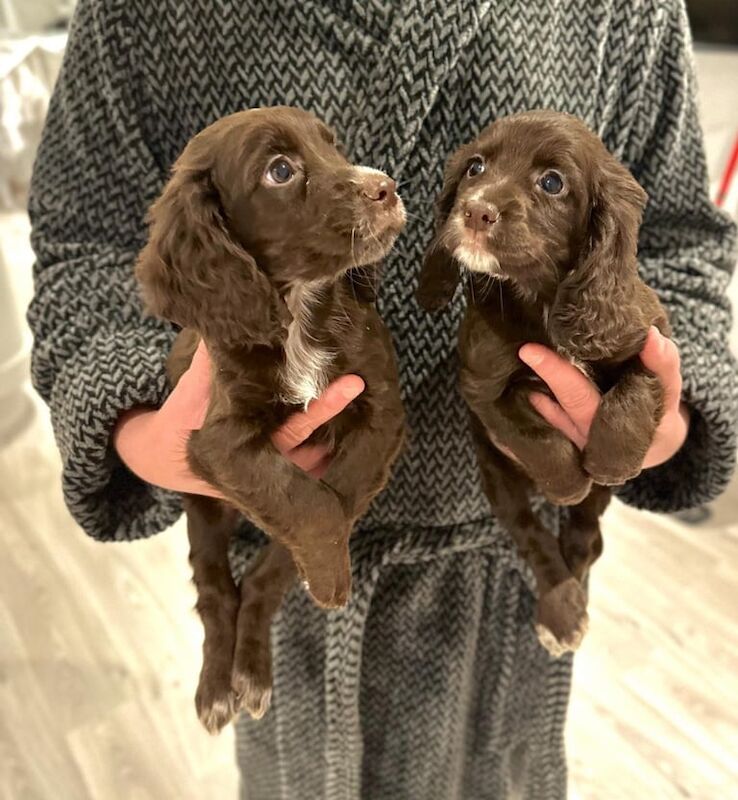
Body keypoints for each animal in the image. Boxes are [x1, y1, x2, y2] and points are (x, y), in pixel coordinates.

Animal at [135, 106, 406, 732]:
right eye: (280, 171)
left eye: (333, 145)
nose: (385, 187)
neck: (300, 313)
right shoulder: (219, 443)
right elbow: (306, 500)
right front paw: (331, 573)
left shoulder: (381, 408)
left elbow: (331, 500)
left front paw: (324, 570)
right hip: (204, 513)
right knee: (216, 590)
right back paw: (219, 686)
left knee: (255, 581)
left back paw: (251, 672)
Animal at [416, 108, 668, 656]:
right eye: (475, 167)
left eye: (552, 183)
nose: (476, 211)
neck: (543, 299)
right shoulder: (481, 385)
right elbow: (530, 432)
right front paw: (567, 479)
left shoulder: (651, 336)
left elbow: (635, 390)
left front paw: (612, 456)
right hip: (499, 484)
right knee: (534, 537)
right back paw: (561, 607)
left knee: (587, 535)